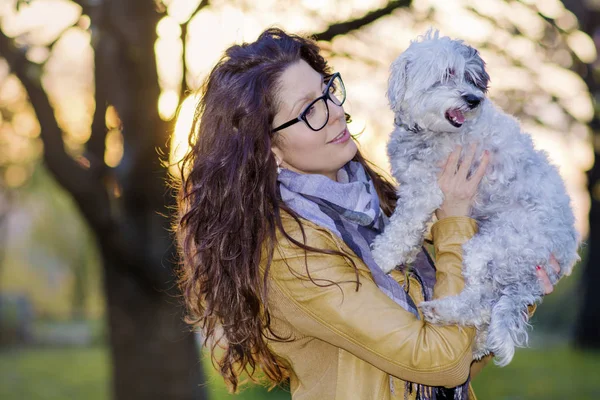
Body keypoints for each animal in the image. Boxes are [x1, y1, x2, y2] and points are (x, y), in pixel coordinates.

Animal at [372, 31, 580, 366]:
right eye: (447, 74)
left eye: (472, 78)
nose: (474, 100)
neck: (429, 131)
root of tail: (562, 257)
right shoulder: (416, 190)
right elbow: (411, 231)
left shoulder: (424, 192)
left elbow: (400, 229)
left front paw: (380, 258)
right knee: (487, 306)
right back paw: (480, 343)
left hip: (490, 246)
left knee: (480, 300)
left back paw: (442, 312)